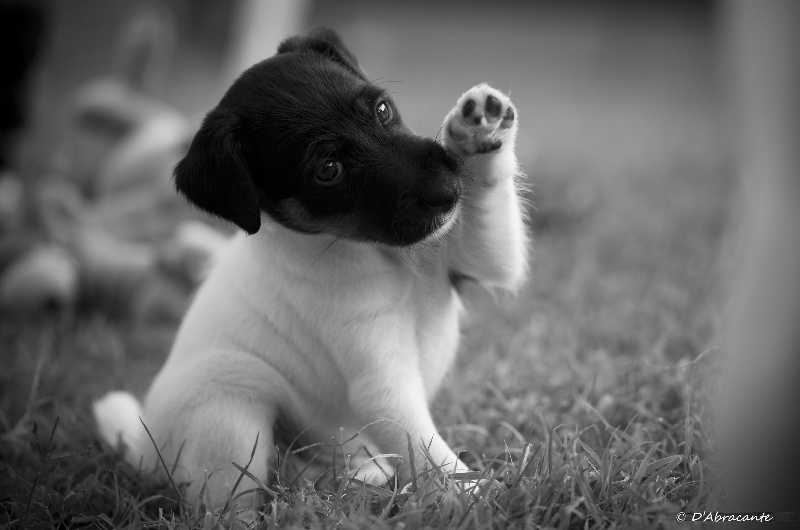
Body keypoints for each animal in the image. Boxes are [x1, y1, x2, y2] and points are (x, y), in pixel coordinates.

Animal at [94, 26, 528, 510]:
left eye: (381, 110)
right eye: (328, 169)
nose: (448, 190)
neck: (379, 253)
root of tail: (147, 450)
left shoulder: (467, 260)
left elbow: (492, 231)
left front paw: (479, 132)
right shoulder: (381, 382)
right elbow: (425, 447)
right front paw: (471, 494)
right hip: (232, 410)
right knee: (229, 503)